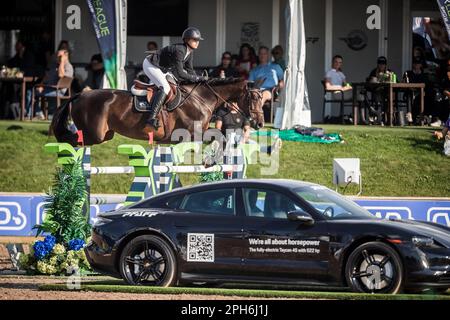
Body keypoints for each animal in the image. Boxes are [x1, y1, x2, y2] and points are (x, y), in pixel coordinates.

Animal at [51, 79, 266, 146]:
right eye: (254, 98)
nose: (260, 123)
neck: (203, 98)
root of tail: (81, 94)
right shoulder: (192, 133)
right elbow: (218, 135)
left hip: (105, 135)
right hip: (93, 134)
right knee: (69, 139)